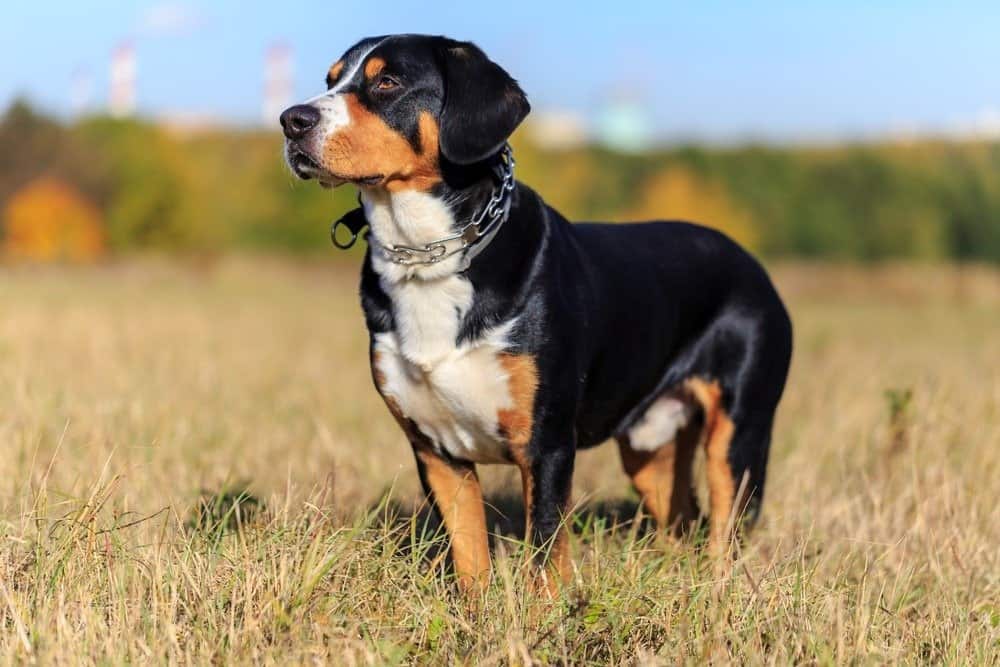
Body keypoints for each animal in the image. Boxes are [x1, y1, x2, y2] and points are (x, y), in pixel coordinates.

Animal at [282, 34, 788, 592]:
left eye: (388, 81)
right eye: (331, 80)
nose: (291, 120)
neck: (425, 260)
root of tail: (749, 262)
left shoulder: (546, 445)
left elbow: (546, 552)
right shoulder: (436, 451)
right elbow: (469, 554)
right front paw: (475, 612)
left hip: (739, 432)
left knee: (725, 530)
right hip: (647, 446)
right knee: (682, 521)